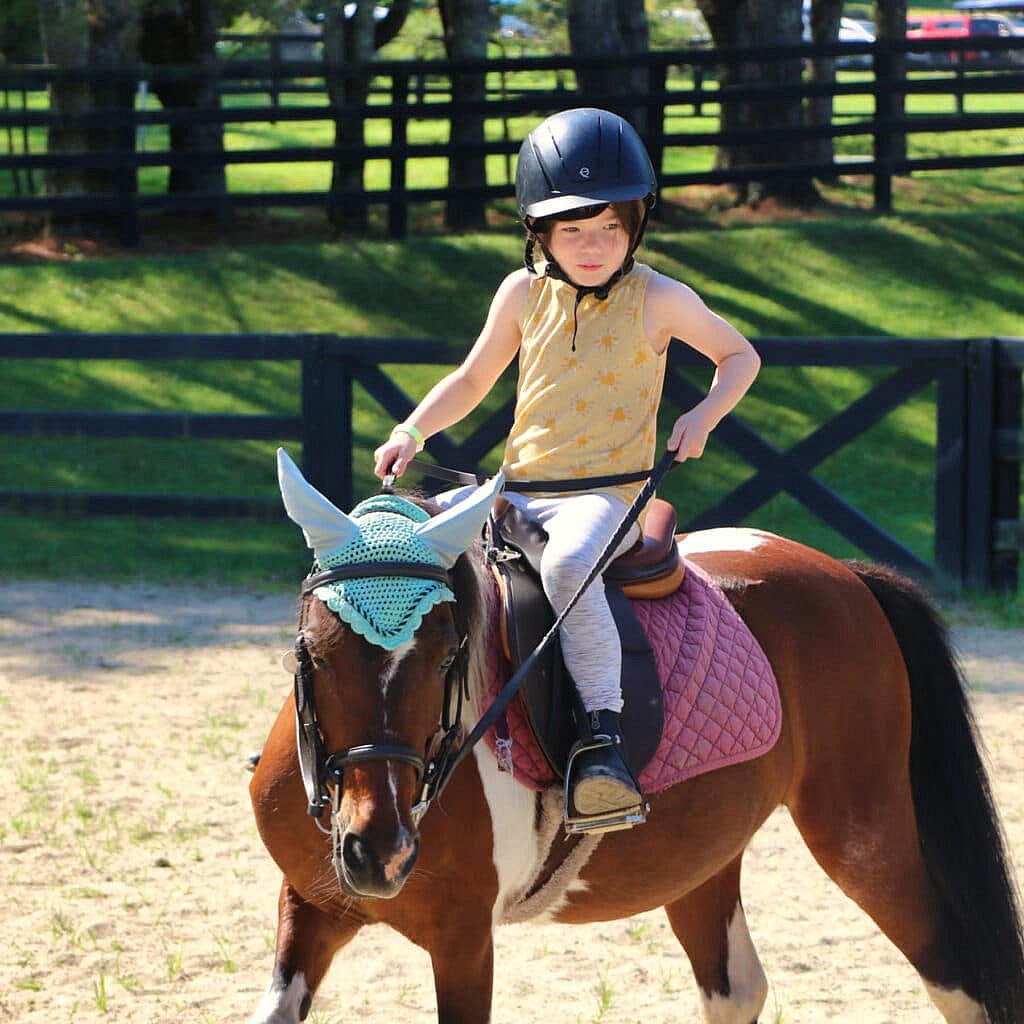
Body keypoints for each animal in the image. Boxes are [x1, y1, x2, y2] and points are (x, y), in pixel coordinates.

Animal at [247, 451, 1024, 1024]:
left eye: (446, 657)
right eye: (312, 653)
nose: (377, 851)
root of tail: (848, 575)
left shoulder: (464, 943)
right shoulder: (310, 907)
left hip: (865, 838)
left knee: (959, 981)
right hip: (705, 855)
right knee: (736, 990)